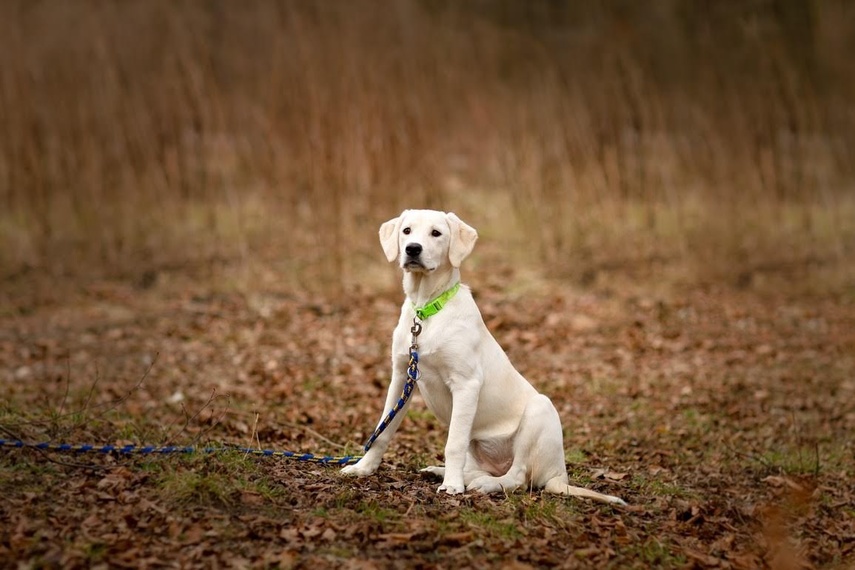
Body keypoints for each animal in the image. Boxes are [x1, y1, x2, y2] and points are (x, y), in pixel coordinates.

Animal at [342, 207, 628, 502]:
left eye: (436, 233)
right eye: (406, 231)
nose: (412, 249)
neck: (427, 310)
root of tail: (559, 474)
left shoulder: (466, 384)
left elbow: (453, 444)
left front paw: (452, 486)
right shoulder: (402, 375)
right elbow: (382, 430)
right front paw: (362, 468)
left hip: (540, 410)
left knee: (517, 477)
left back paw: (482, 484)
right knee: (485, 470)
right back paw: (446, 472)